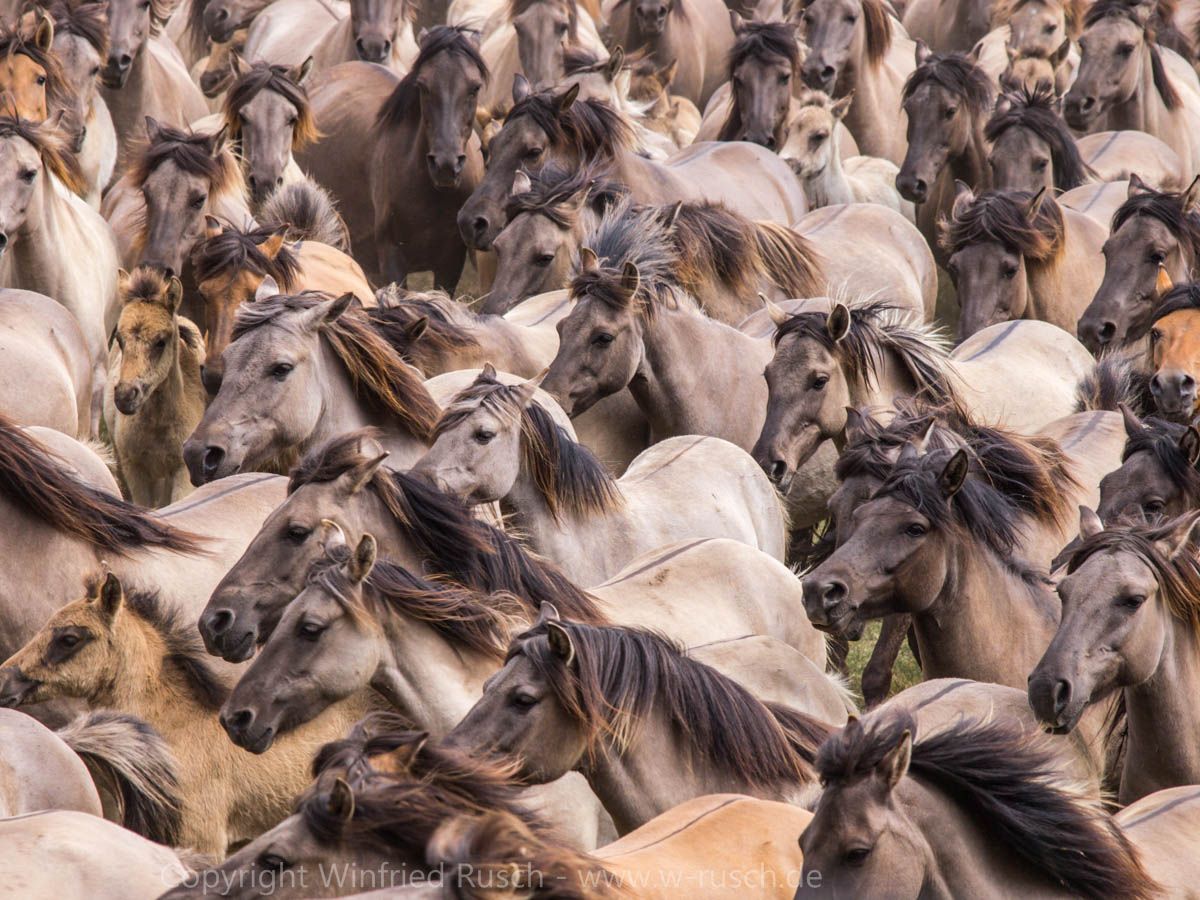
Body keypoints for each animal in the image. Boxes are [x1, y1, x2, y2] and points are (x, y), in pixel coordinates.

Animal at [105, 268, 206, 508]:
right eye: (120, 340)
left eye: (161, 341)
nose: (125, 396)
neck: (157, 425)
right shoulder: (134, 468)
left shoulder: (182, 470)